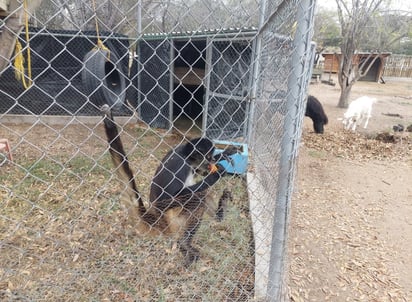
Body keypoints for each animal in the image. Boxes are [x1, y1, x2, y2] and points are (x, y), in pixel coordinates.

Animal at [101, 105, 227, 266]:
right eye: (208, 158)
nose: (212, 163)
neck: (185, 156)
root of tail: (159, 221)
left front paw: (226, 155)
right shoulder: (180, 165)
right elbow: (166, 199)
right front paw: (215, 175)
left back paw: (219, 216)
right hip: (174, 220)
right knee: (199, 195)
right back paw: (184, 243)